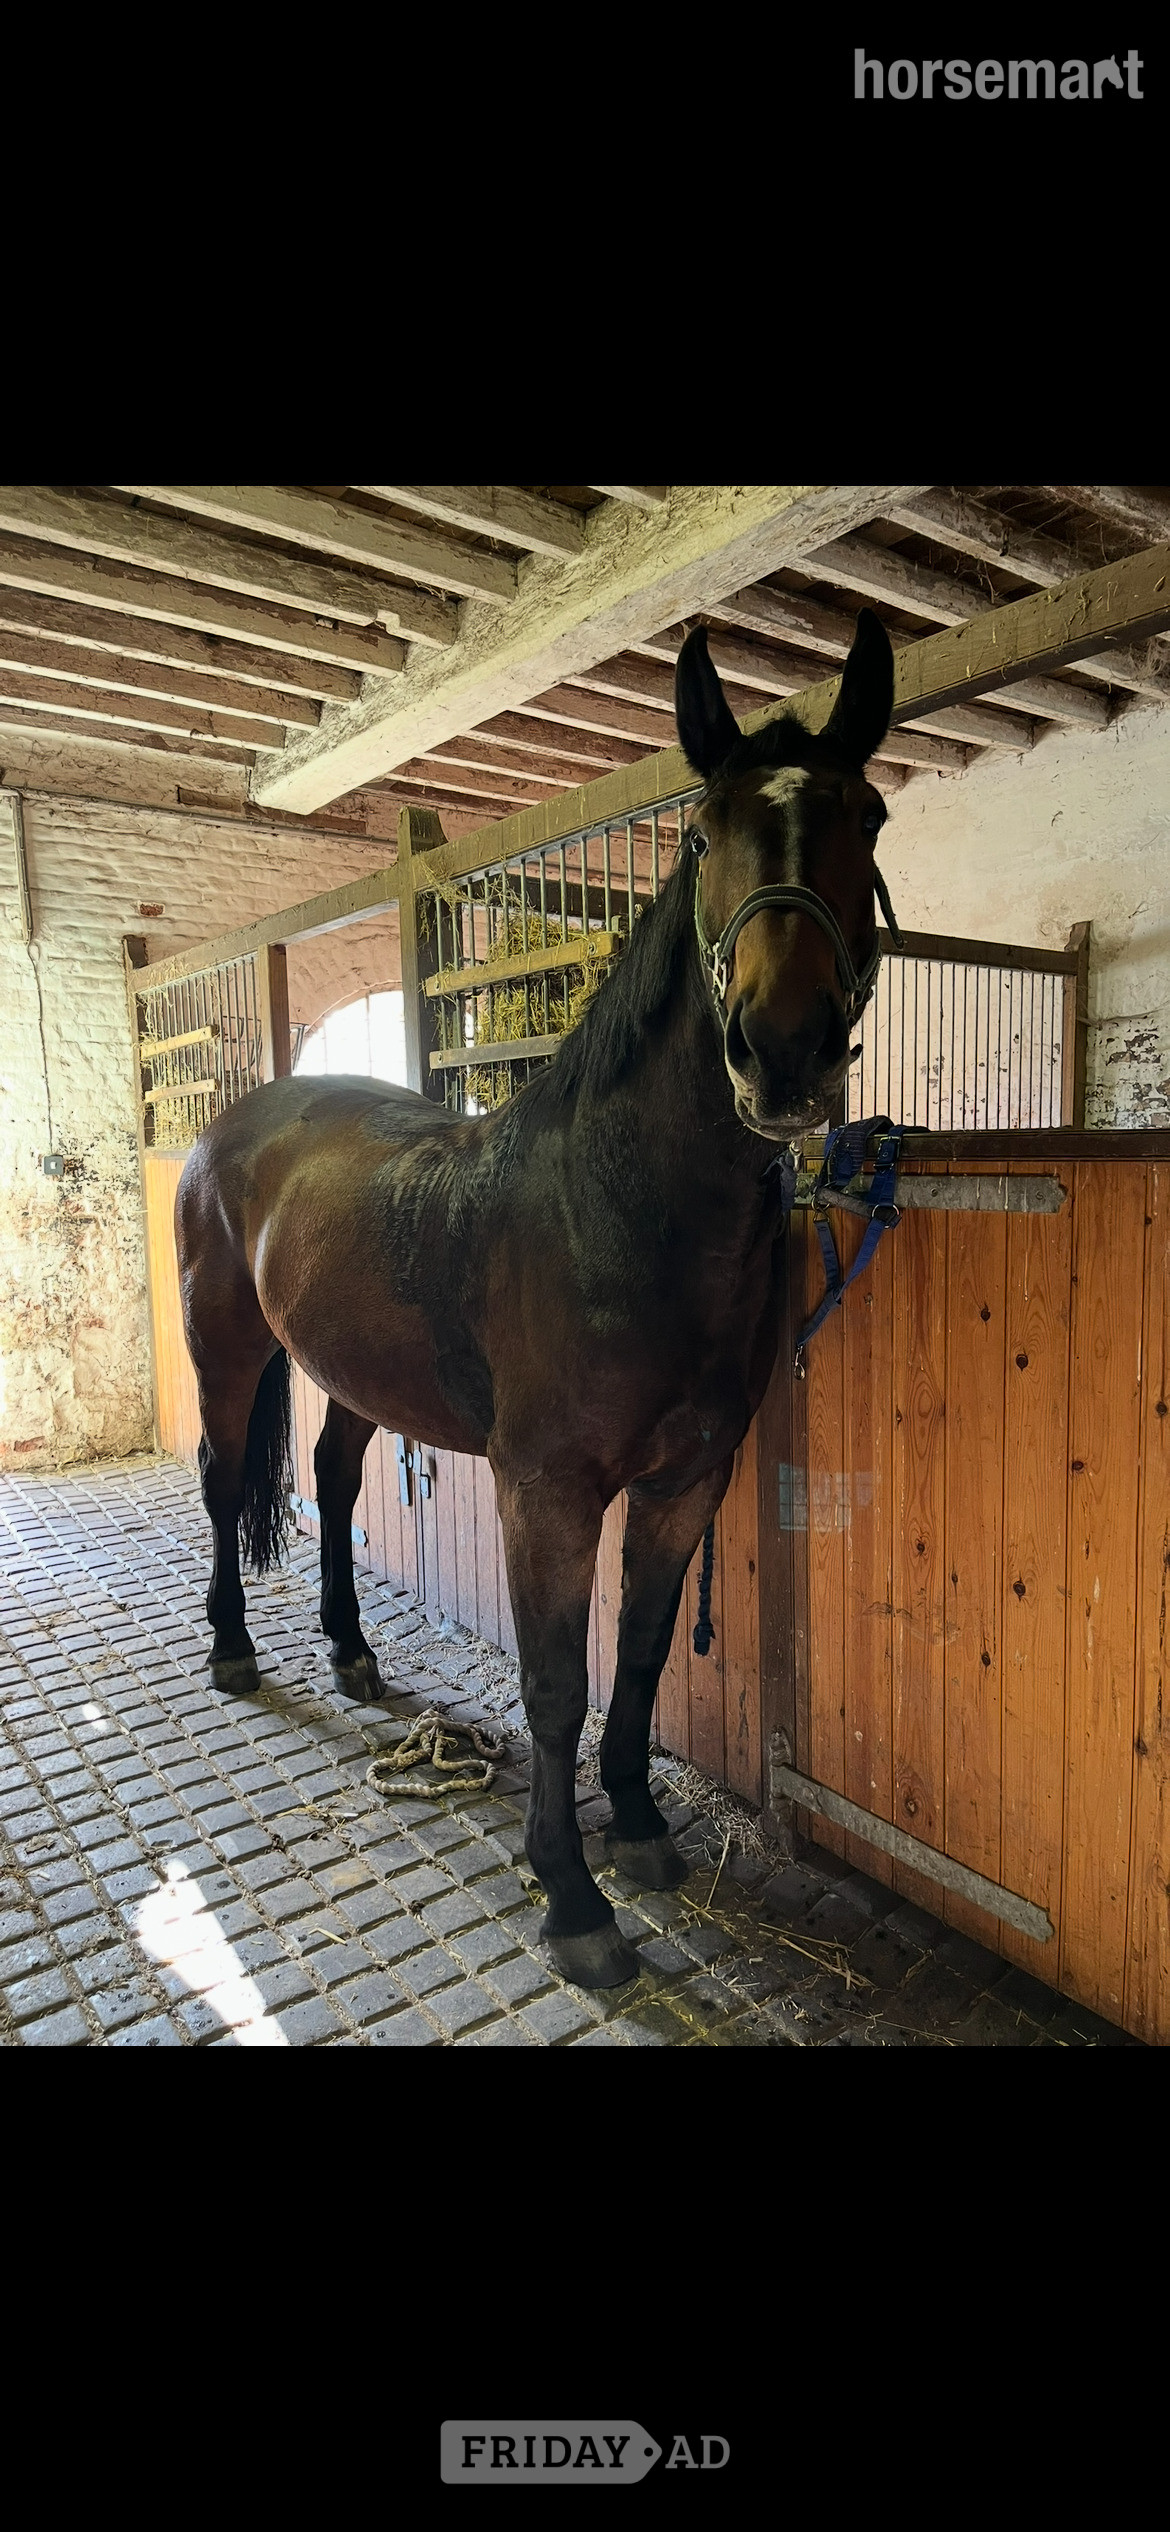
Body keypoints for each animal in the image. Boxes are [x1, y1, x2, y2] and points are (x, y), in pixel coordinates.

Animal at [175, 608, 897, 1989]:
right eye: (699, 833)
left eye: (870, 817)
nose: (782, 1053)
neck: (617, 1219)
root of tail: (237, 1123)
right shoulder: (546, 1491)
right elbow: (557, 1684)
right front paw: (571, 1899)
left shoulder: (687, 1481)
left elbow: (642, 1652)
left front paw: (643, 1830)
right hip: (226, 1350)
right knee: (224, 1478)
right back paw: (234, 1652)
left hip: (354, 1374)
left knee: (335, 1481)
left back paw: (352, 1655)